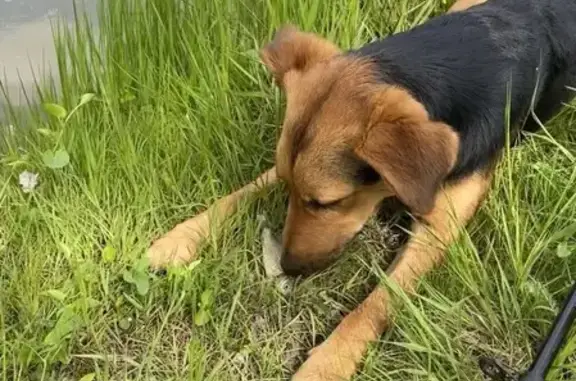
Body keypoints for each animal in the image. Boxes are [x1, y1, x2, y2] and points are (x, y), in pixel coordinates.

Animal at [147, 0, 576, 378]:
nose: (288, 267)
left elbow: (376, 305)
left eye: (326, 203)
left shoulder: (439, 227)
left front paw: (325, 365)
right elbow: (246, 190)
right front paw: (180, 239)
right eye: (292, 190)